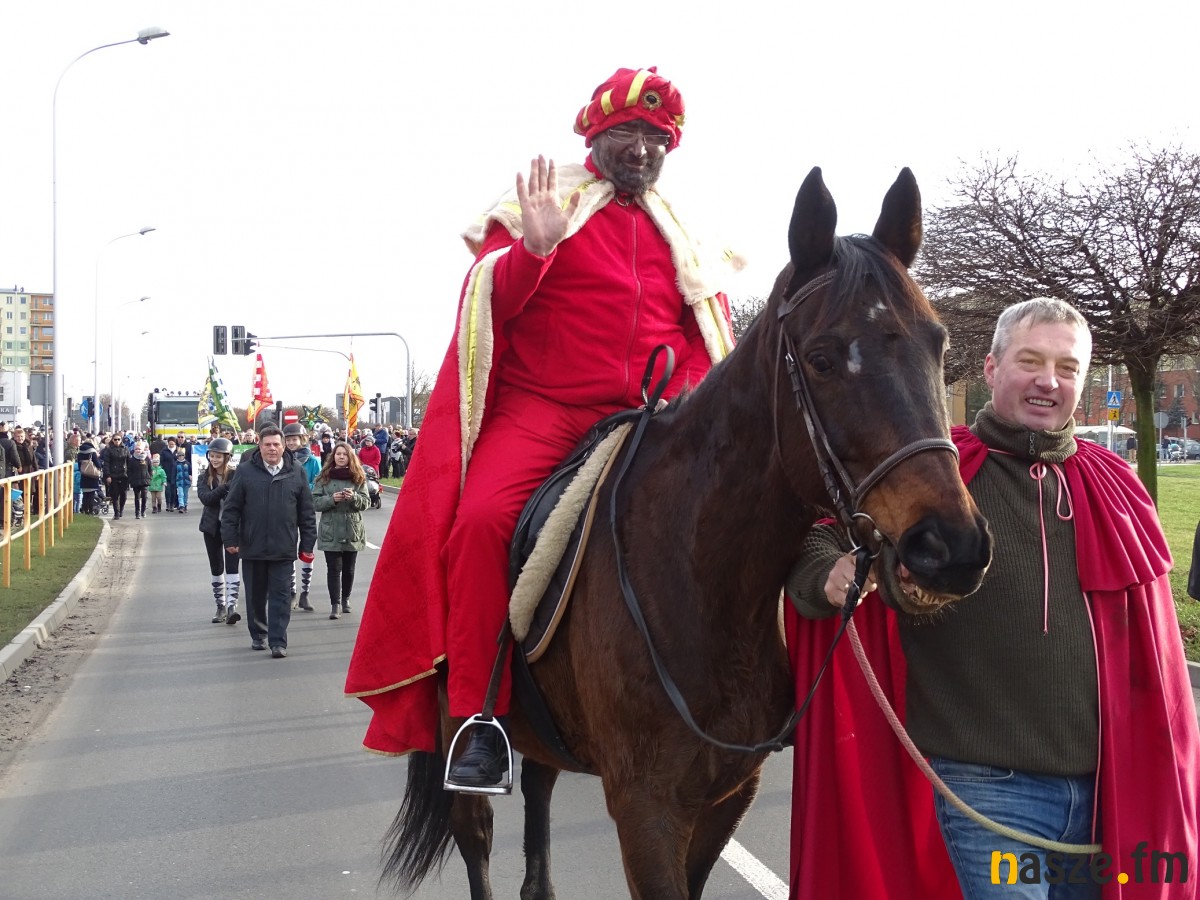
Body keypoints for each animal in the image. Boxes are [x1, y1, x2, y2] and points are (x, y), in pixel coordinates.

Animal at [382, 166, 993, 900]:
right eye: (821, 357)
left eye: (939, 343)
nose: (951, 545)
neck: (702, 577)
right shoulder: (646, 808)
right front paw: (540, 236)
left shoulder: (727, 795)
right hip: (458, 723)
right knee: (476, 836)